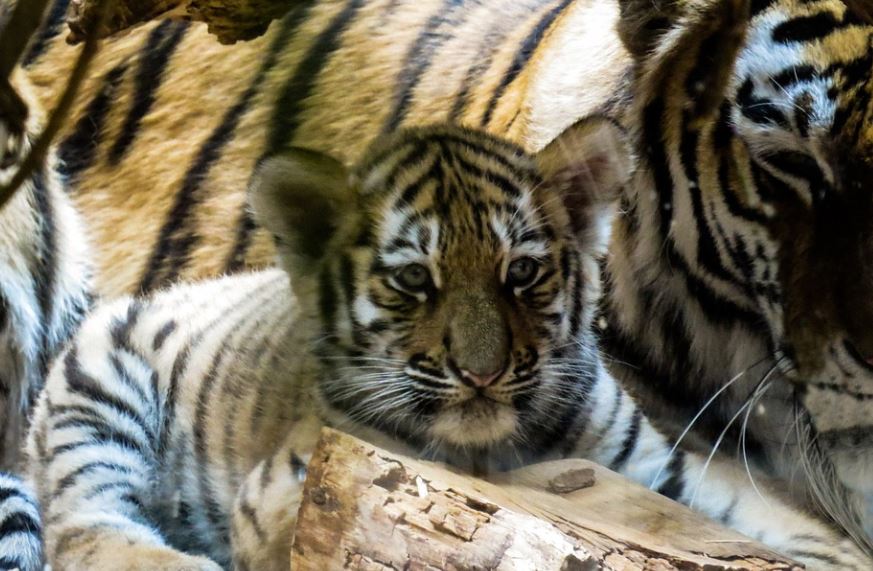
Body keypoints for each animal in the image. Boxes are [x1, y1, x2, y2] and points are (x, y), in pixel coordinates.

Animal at [12, 0, 873, 556]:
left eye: (522, 271)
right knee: (89, 527)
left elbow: (782, 526)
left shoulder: (664, 465)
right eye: (789, 159)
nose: (481, 374)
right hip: (97, 389)